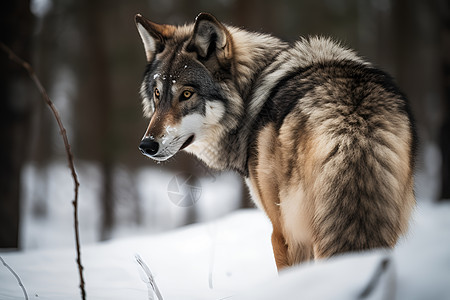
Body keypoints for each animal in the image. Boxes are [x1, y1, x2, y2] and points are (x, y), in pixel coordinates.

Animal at [135, 12, 416, 270]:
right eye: (158, 93)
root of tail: (352, 119)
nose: (147, 146)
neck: (249, 95)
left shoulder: (279, 234)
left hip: (294, 232)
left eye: (186, 94)